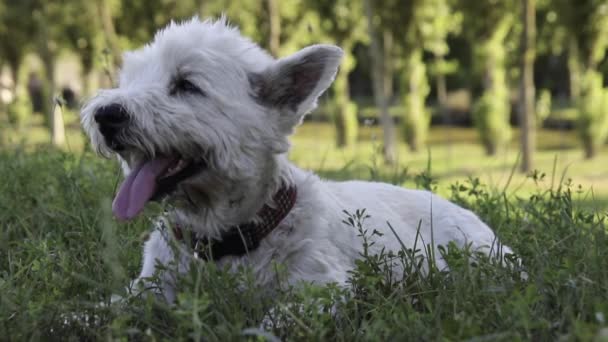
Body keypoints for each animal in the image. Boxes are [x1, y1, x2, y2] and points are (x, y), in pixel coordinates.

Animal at [81, 18, 512, 302]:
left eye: (186, 85)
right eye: (129, 80)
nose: (106, 115)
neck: (226, 236)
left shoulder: (319, 289)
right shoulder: (148, 288)